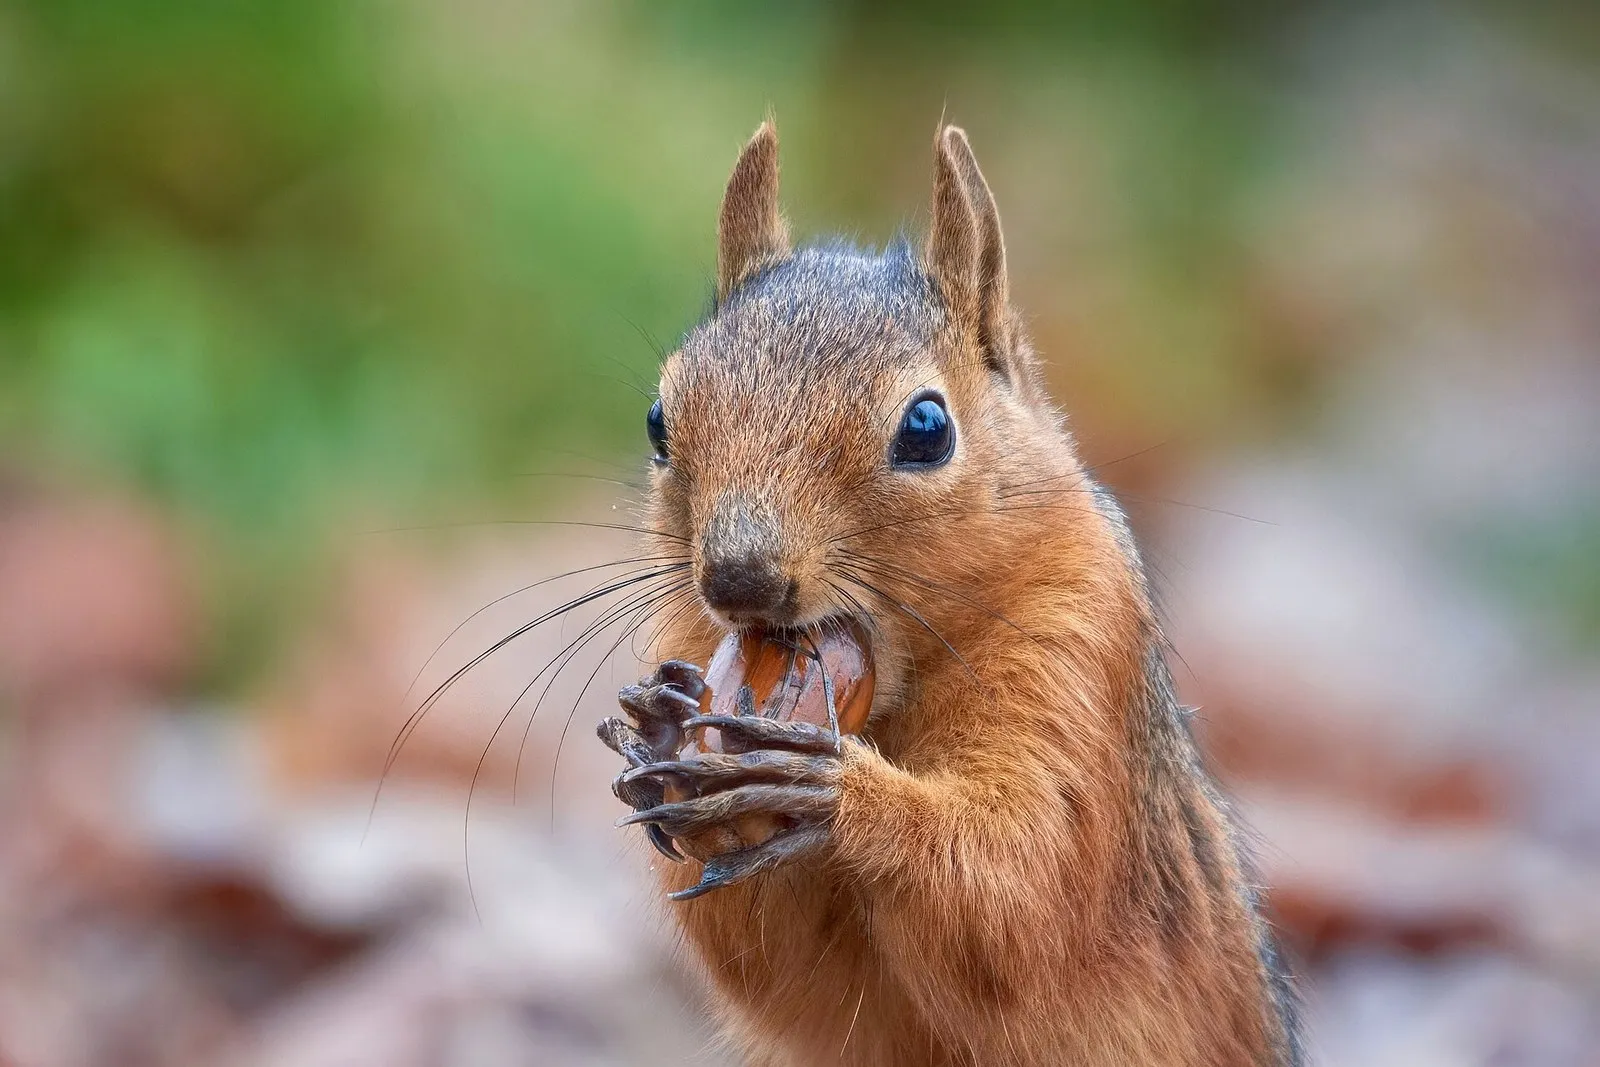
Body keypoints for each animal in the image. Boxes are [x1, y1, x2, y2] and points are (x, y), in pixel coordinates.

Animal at [596, 120, 1301, 1067]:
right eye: (658, 422)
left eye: (928, 428)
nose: (740, 577)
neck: (897, 691)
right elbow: (768, 958)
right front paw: (663, 730)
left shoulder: (1079, 657)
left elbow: (1019, 887)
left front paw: (835, 790)